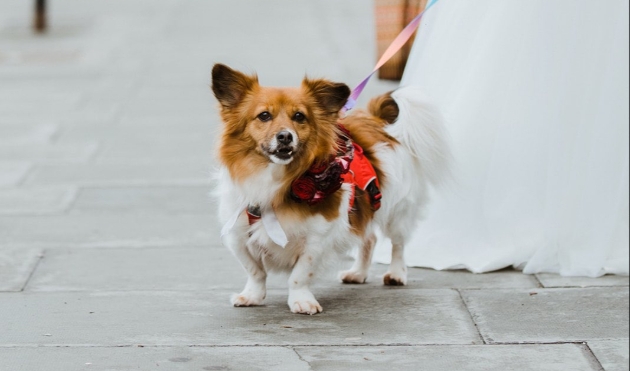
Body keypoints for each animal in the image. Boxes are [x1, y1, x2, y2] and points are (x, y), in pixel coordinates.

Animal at [212, 64, 450, 316]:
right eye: (264, 116)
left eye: (299, 116)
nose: (285, 136)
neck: (275, 179)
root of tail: (375, 120)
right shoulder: (238, 235)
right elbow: (255, 271)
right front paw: (252, 296)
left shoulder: (318, 238)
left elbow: (299, 275)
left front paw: (301, 300)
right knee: (369, 238)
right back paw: (358, 273)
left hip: (397, 211)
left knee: (398, 244)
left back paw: (395, 273)